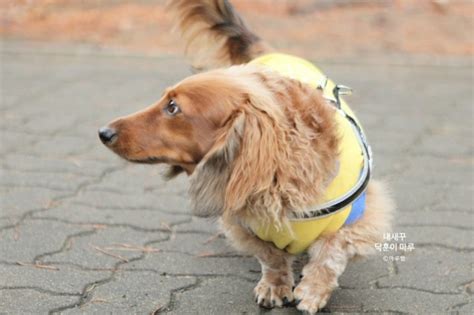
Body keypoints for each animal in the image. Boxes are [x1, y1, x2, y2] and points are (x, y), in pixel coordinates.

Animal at [98, 1, 394, 314]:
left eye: (173, 107)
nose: (103, 132)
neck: (280, 181)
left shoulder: (363, 218)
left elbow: (331, 251)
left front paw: (313, 290)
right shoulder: (243, 224)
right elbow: (270, 255)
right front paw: (275, 284)